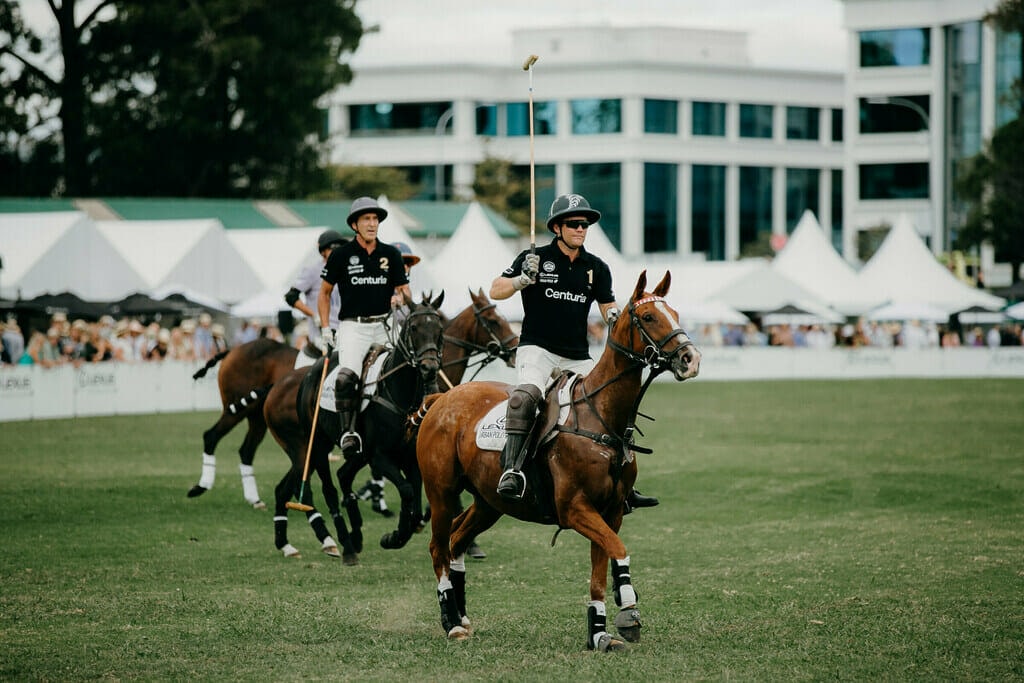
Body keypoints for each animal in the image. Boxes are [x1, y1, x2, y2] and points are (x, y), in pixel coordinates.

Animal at [264, 290, 444, 565]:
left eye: (439, 328)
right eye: (413, 327)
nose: (430, 368)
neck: (399, 393)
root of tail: (308, 373)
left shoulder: (410, 457)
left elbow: (414, 501)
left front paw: (397, 534)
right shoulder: (380, 456)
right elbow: (405, 490)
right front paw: (393, 537)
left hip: (353, 453)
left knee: (341, 476)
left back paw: (351, 535)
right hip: (314, 446)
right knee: (327, 489)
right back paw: (345, 546)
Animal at [411, 270, 700, 651]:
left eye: (676, 314)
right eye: (650, 317)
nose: (691, 358)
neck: (602, 417)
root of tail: (441, 398)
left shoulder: (611, 510)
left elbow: (600, 570)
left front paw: (599, 634)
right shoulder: (573, 508)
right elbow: (619, 549)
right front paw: (628, 611)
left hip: (490, 501)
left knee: (457, 540)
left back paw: (461, 614)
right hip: (441, 491)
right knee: (437, 547)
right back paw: (451, 621)